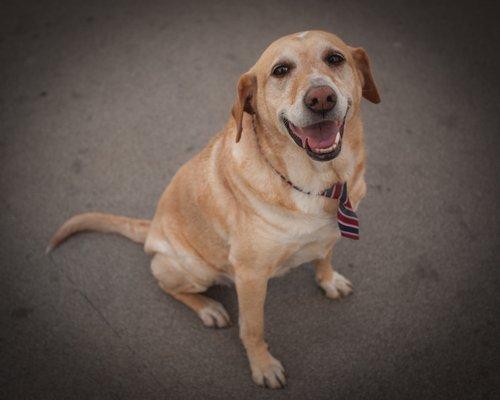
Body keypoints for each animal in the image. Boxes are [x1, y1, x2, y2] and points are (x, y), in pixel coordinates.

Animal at [48, 30, 380, 388]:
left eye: (335, 58)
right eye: (280, 70)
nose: (321, 98)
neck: (321, 182)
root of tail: (151, 227)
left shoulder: (328, 236)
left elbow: (323, 257)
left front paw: (329, 280)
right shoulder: (250, 275)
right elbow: (252, 328)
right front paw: (262, 366)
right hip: (196, 270)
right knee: (166, 284)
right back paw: (209, 308)